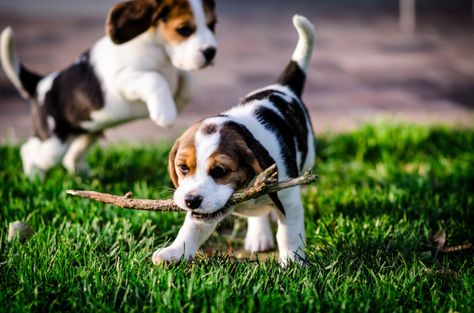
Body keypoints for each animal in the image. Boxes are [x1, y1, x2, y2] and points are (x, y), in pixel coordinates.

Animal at [0, 0, 218, 178]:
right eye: (184, 30)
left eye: (212, 25)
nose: (211, 52)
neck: (159, 50)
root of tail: (40, 85)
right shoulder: (122, 80)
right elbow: (154, 78)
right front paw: (165, 112)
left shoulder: (177, 71)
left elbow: (187, 80)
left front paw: (178, 100)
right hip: (52, 144)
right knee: (29, 152)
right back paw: (34, 179)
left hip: (89, 132)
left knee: (71, 157)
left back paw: (83, 177)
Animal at [155, 15, 314, 266]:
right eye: (183, 168)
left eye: (220, 170)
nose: (191, 200)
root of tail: (282, 87)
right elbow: (190, 230)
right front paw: (174, 252)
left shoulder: (288, 198)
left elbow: (289, 233)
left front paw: (293, 263)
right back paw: (258, 236)